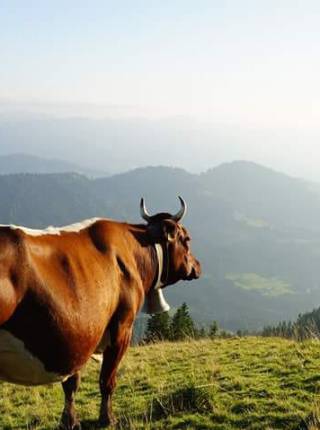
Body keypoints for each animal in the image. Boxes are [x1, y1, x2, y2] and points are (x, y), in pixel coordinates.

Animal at [0, 197, 200, 426]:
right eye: (187, 239)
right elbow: (107, 380)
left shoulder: (81, 334)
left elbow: (71, 384)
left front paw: (70, 421)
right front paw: (107, 418)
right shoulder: (121, 327)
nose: (198, 266)